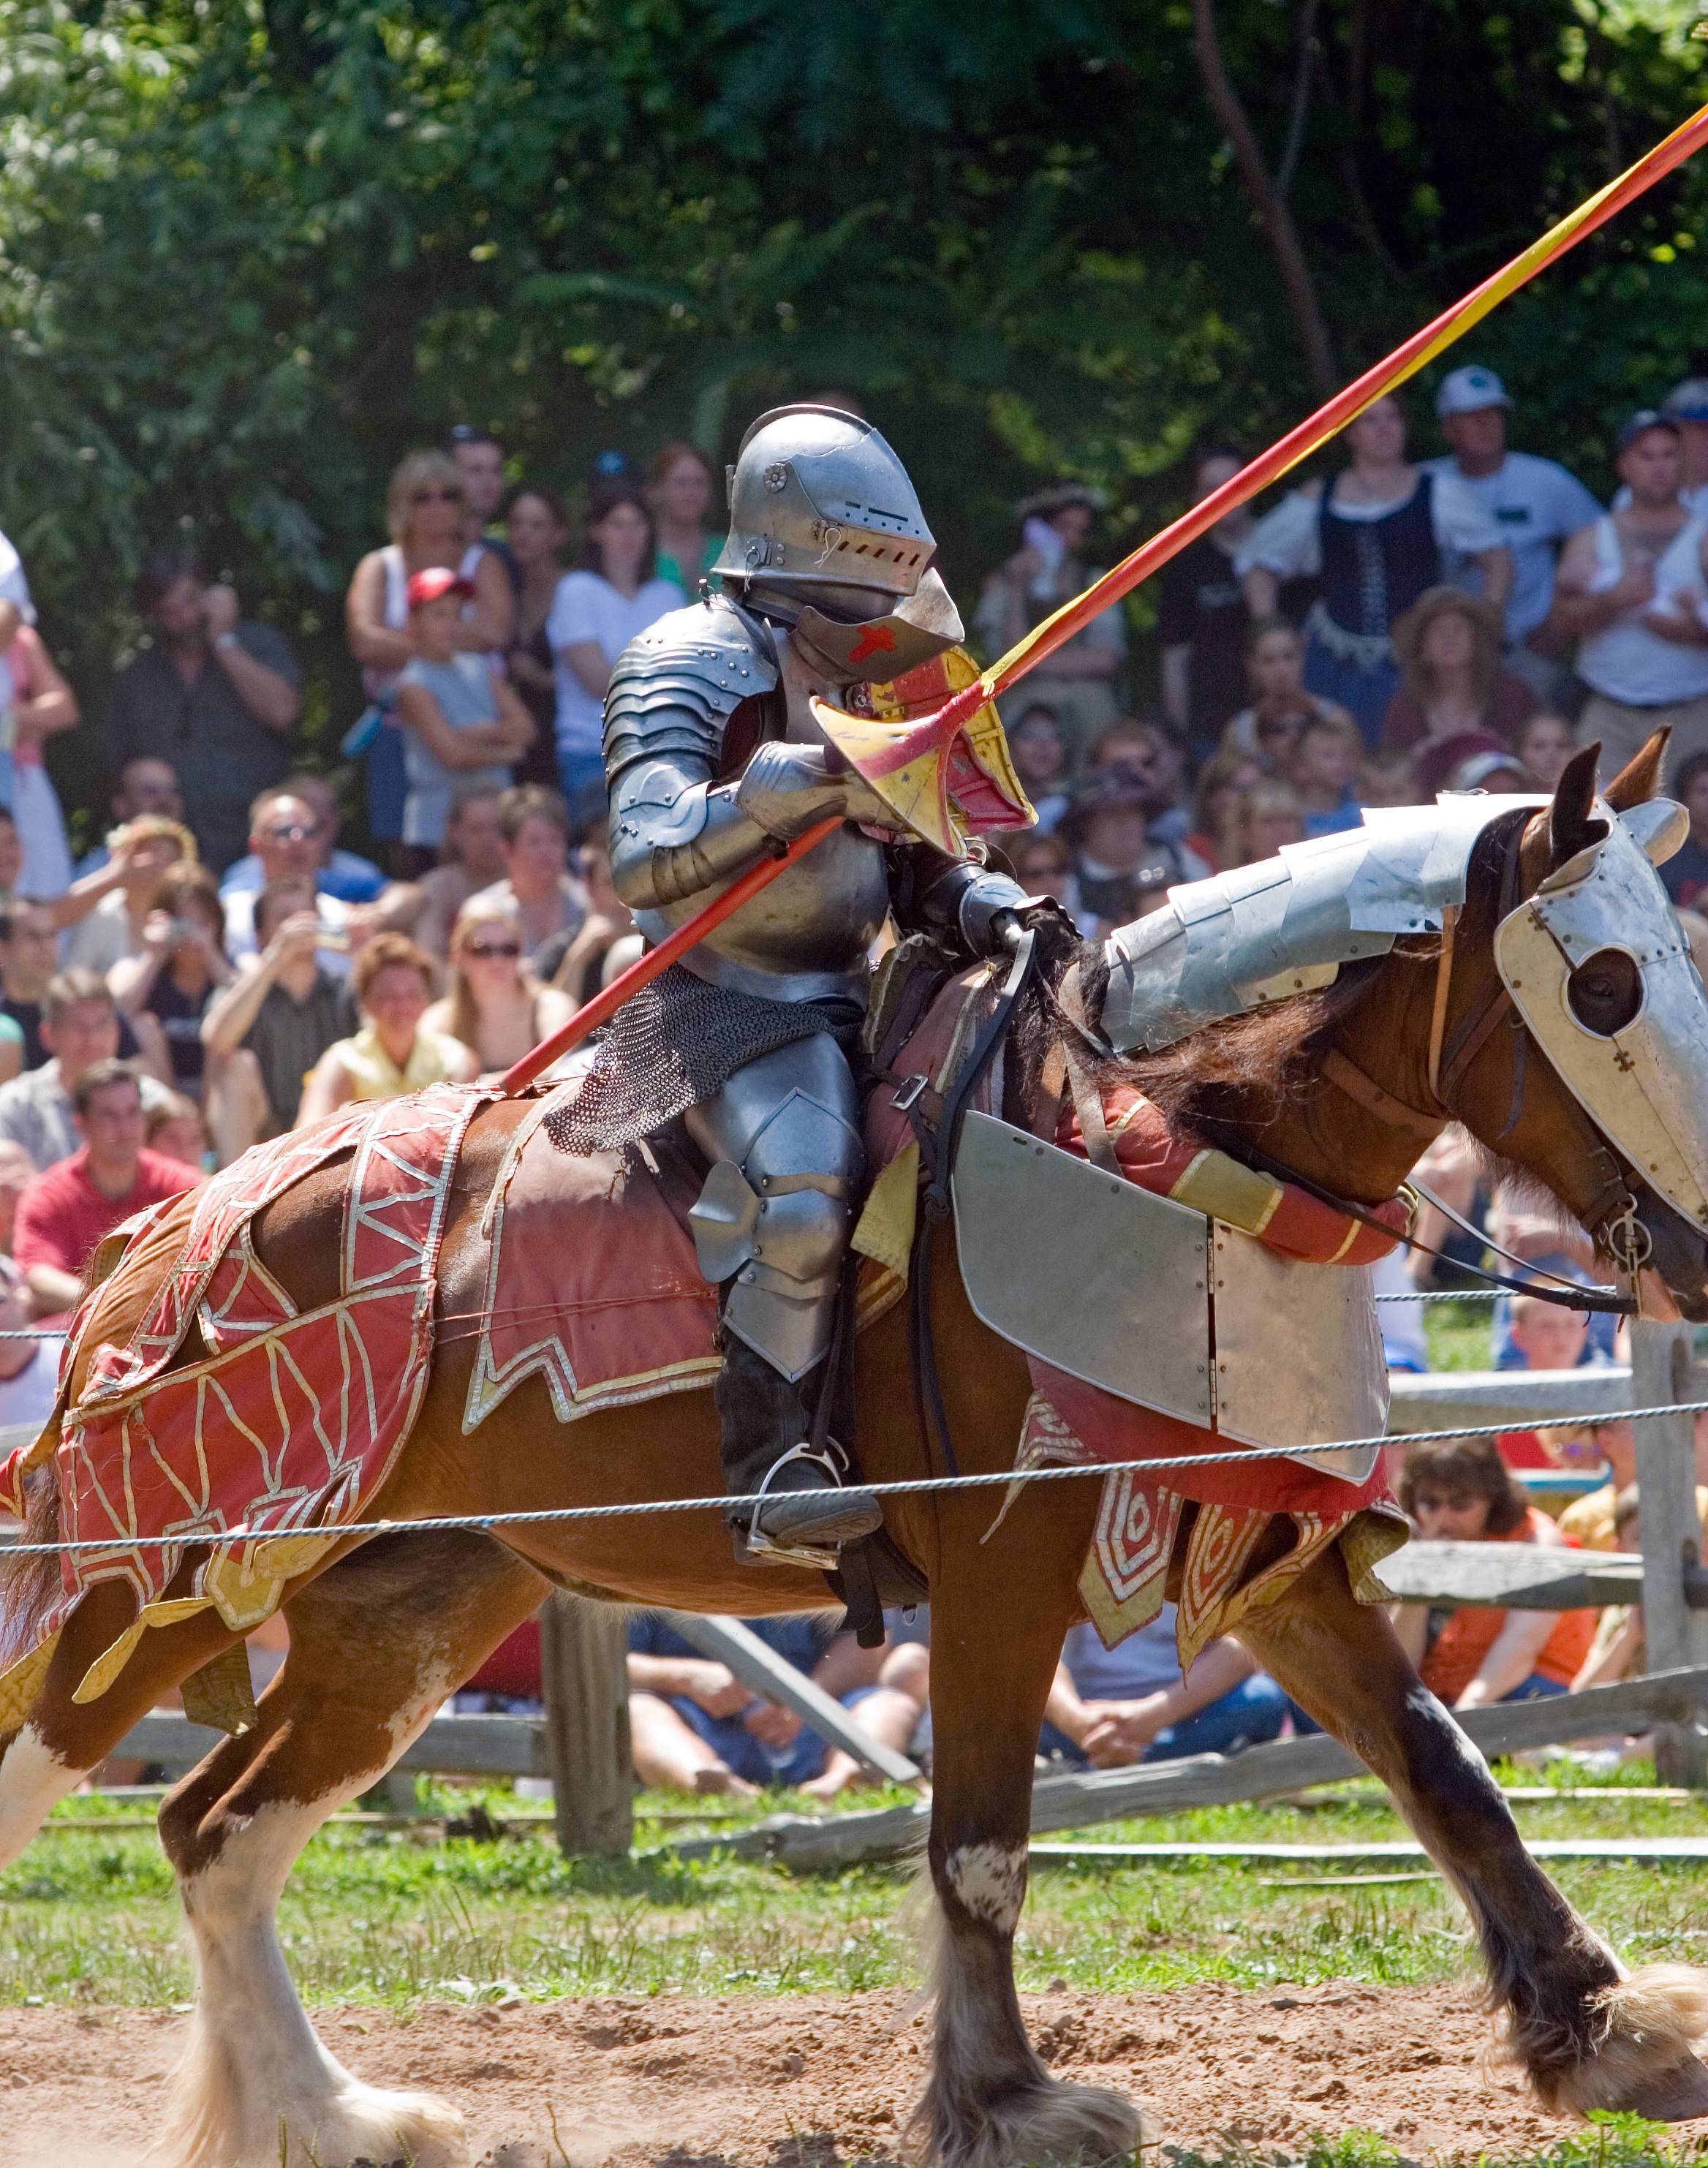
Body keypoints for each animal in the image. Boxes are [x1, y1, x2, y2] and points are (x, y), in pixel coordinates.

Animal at [3, 737, 1708, 2159]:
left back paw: (334, 2117)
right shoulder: (1007, 1568)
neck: (1164, 1143)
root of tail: (159, 1245)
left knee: (215, 1834)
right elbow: (980, 1850)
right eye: (1606, 987)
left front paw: (1605, 2030)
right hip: (147, 1585)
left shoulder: (1262, 1554)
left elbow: (1442, 1766)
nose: (1696, 1249)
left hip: (409, 1609)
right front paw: (1008, 2101)